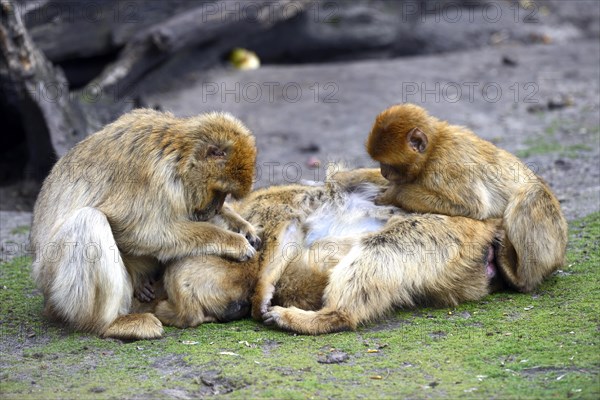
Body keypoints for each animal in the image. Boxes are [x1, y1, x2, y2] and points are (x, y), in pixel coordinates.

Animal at [29, 108, 260, 338]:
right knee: (89, 221)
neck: (179, 156)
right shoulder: (151, 174)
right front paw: (233, 242)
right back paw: (108, 323)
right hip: (55, 286)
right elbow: (139, 231)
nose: (216, 208)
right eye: (220, 192)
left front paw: (242, 225)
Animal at [366, 103, 568, 292]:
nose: (383, 172)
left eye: (387, 164)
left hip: (552, 239)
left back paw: (521, 279)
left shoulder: (447, 165)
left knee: (531, 194)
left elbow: (472, 206)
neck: (433, 148)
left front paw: (393, 194)